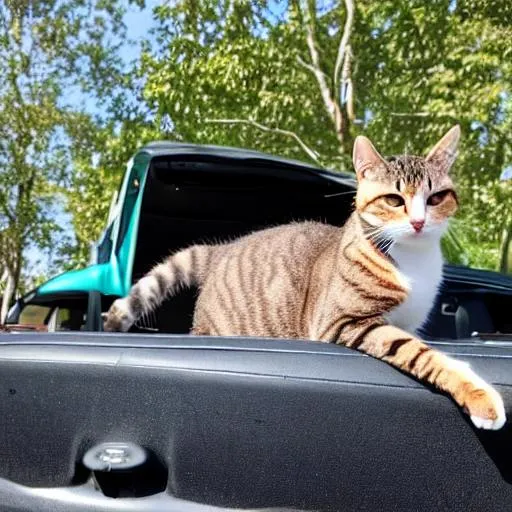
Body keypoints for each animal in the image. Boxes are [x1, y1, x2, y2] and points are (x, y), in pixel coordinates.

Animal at [103, 126, 504, 430]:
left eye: (436, 198)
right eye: (393, 200)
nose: (419, 222)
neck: (412, 259)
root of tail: (224, 249)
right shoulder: (345, 321)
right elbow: (420, 352)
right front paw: (480, 396)